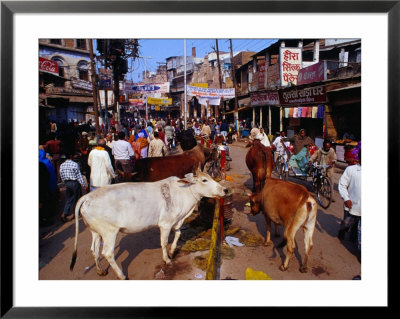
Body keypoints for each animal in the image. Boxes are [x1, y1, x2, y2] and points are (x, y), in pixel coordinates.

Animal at [70, 169, 228, 282]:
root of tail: (87, 196)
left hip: (96, 232)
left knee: (94, 250)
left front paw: (172, 251)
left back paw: (100, 270)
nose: (224, 189)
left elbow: (178, 233)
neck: (183, 192)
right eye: (204, 180)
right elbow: (164, 242)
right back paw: (122, 275)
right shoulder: (165, 224)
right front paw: (167, 259)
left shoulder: (176, 222)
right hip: (110, 232)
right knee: (107, 253)